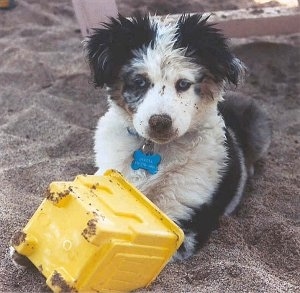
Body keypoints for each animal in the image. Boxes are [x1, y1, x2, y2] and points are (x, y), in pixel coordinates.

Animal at [85, 14, 272, 260]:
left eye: (184, 84)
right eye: (140, 82)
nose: (160, 123)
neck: (154, 151)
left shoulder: (183, 220)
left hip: (257, 122)